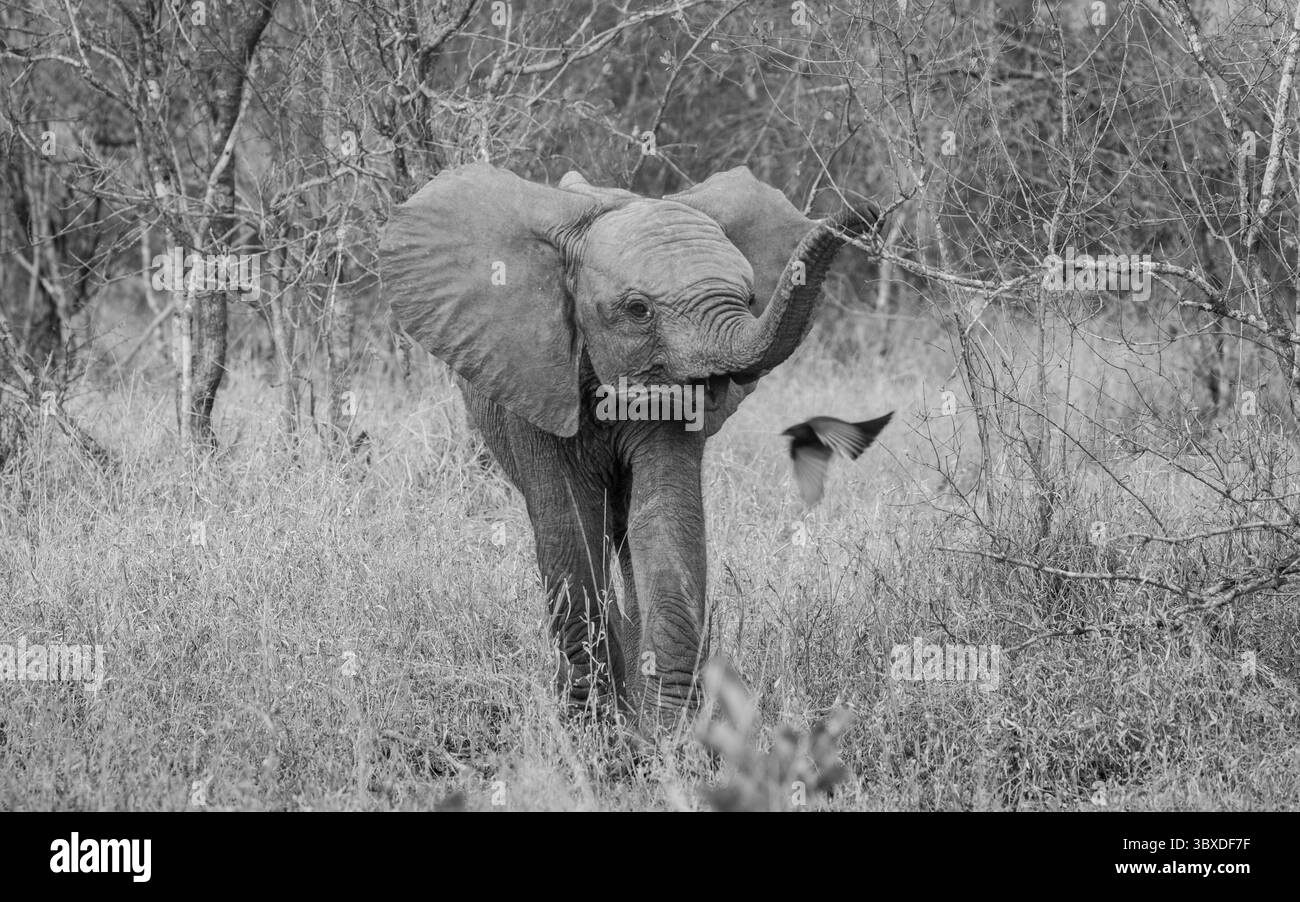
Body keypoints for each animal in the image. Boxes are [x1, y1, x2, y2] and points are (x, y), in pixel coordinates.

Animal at [380, 162, 879, 732]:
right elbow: (567, 523)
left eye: (750, 299)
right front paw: (594, 727)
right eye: (639, 310)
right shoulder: (529, 373)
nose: (867, 212)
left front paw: (667, 733)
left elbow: (664, 516)